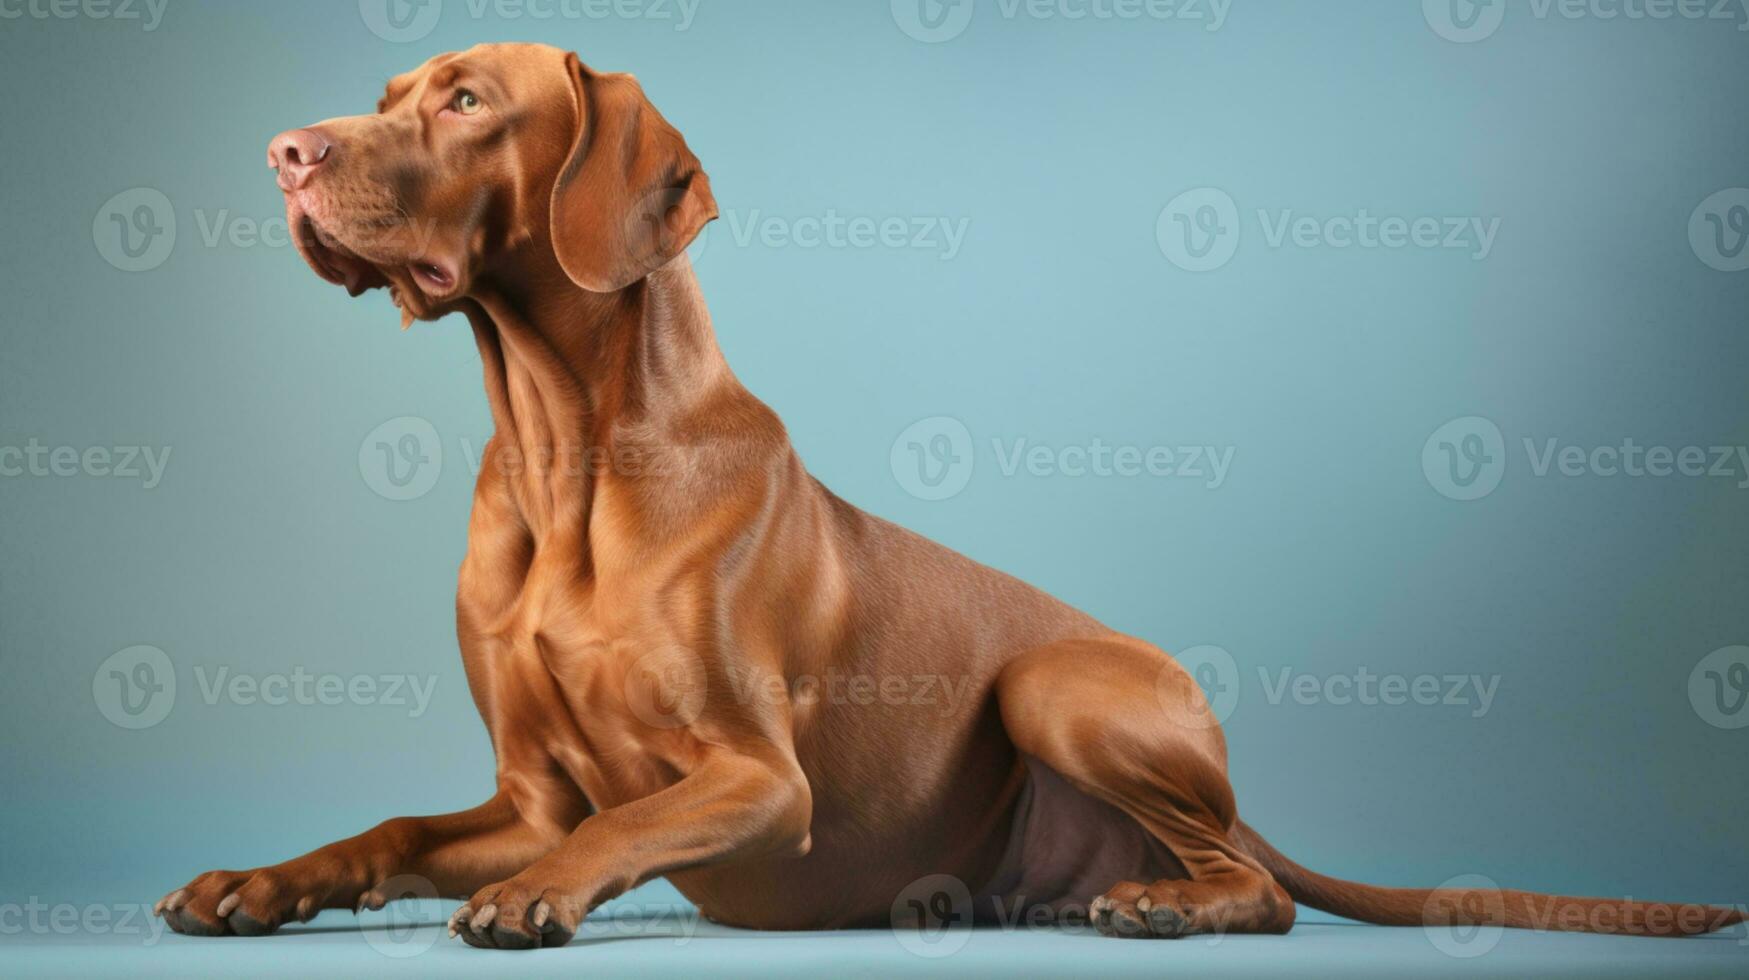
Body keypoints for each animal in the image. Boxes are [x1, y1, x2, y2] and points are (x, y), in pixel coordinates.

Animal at [146, 43, 1735, 952]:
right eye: (383, 98)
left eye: (469, 101)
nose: (287, 154)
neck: (563, 451)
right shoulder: (527, 791)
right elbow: (388, 832)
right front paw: (258, 882)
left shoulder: (754, 780)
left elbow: (611, 834)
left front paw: (537, 900)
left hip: (1056, 684)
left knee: (1263, 886)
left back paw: (1167, 904)